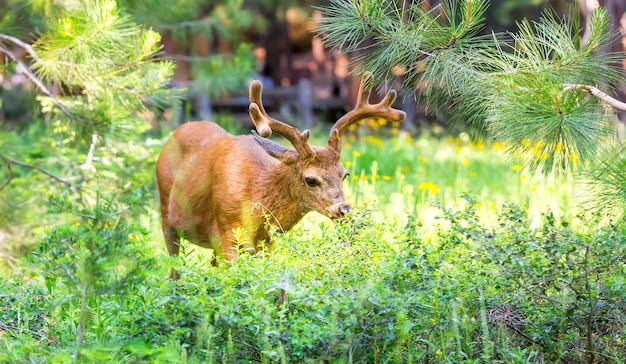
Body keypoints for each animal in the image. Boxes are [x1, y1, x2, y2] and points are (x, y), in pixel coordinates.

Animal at [156, 73, 404, 278]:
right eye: (310, 179)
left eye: (344, 174)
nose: (344, 210)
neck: (255, 194)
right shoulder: (228, 234)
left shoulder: (266, 243)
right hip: (167, 216)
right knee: (173, 269)